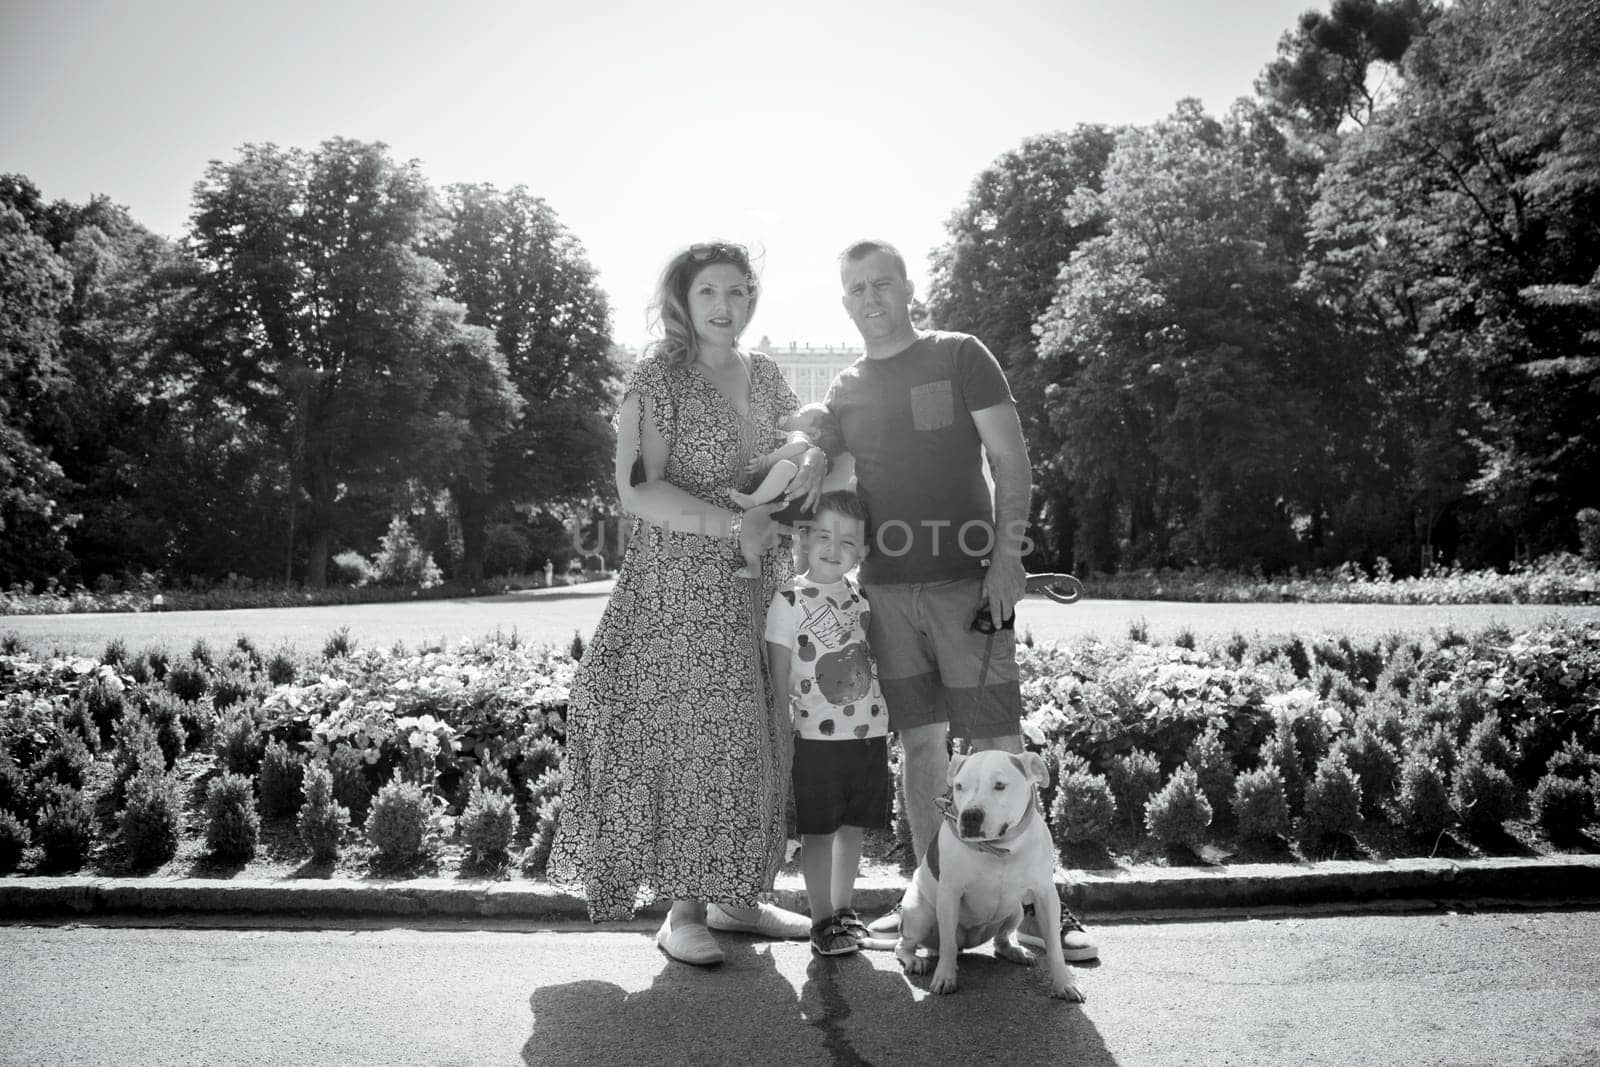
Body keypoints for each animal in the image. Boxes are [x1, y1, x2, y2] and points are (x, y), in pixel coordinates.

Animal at [896, 751, 1081, 1004]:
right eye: (959, 786)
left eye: (1000, 785)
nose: (970, 816)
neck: (999, 848)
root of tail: (968, 942)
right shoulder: (949, 895)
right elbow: (947, 945)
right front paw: (945, 977)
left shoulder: (1045, 894)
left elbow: (1053, 945)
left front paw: (1064, 982)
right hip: (919, 913)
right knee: (907, 944)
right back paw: (914, 959)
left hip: (1016, 912)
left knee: (1000, 940)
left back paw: (1015, 951)